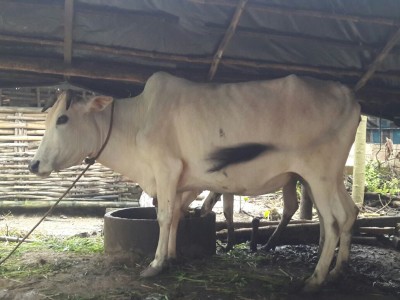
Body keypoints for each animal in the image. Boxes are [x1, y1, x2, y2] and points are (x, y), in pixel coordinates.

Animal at [28, 72, 360, 290]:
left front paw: (155, 265)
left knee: (332, 220)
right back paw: (338, 270)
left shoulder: (166, 169)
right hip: (332, 177)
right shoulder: (183, 182)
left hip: (317, 174)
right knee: (350, 212)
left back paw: (316, 278)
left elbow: (163, 217)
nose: (34, 164)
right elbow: (176, 215)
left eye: (63, 119)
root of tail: (347, 95)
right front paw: (172, 256)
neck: (136, 122)